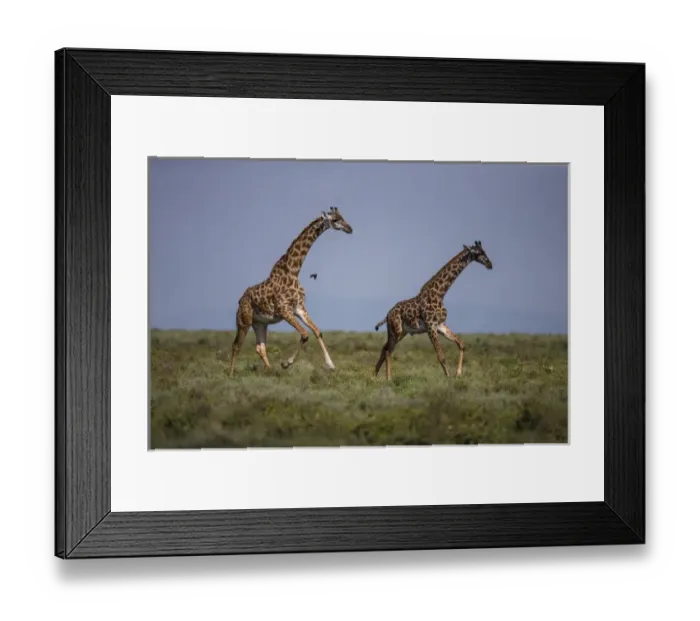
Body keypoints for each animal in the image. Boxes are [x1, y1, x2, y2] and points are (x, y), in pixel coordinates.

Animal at [228, 206, 353, 376]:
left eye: (343, 217)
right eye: (335, 220)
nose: (349, 229)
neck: (293, 271)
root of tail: (240, 300)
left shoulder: (299, 308)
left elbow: (316, 331)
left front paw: (331, 364)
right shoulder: (284, 310)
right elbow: (305, 334)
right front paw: (286, 363)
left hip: (260, 323)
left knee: (260, 347)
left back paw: (270, 370)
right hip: (244, 321)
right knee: (236, 345)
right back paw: (231, 375)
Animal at [373, 241, 493, 380]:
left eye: (484, 252)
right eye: (479, 253)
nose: (490, 264)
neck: (439, 294)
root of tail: (387, 315)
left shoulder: (441, 325)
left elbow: (461, 344)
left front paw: (458, 373)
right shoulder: (431, 326)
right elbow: (441, 356)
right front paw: (448, 377)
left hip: (402, 332)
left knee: (384, 348)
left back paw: (374, 375)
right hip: (395, 330)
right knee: (387, 351)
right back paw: (388, 378)